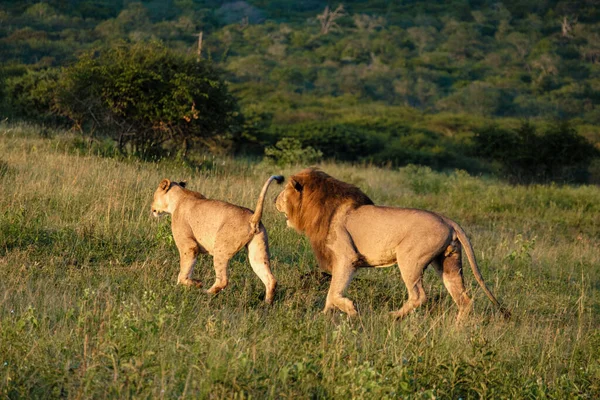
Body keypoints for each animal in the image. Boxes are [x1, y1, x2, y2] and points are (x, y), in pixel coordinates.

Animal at [150, 175, 282, 304]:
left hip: (220, 249)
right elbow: (187, 270)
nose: (152, 208)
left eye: (154, 197)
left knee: (222, 281)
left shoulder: (189, 246)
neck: (179, 197)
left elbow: (184, 272)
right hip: (257, 252)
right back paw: (267, 304)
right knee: (271, 280)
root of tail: (253, 218)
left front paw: (191, 285)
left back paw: (205, 293)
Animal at [274, 167, 508, 320]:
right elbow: (332, 294)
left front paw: (350, 310)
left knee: (419, 296)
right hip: (449, 263)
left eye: (284, 191)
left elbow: (333, 291)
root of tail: (447, 220)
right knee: (465, 300)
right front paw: (324, 316)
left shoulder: (346, 257)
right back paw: (457, 330)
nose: (274, 200)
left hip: (410, 259)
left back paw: (393, 316)